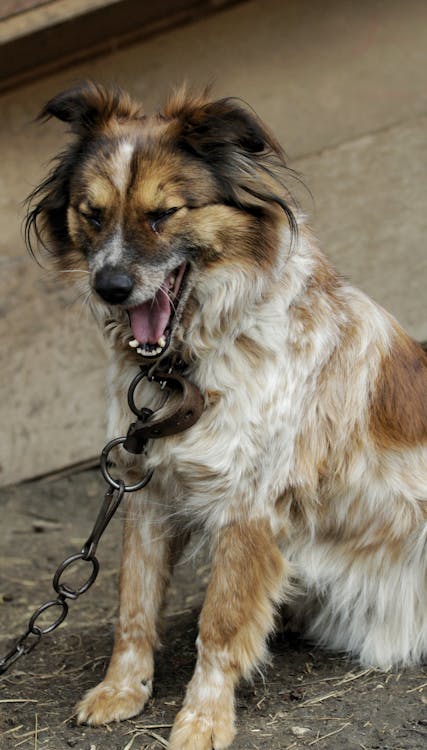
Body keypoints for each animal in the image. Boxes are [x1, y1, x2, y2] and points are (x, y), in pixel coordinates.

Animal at [25, 82, 426, 750]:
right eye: (93, 213)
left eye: (163, 214)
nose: (110, 287)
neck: (190, 364)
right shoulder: (147, 490)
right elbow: (134, 605)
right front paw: (122, 691)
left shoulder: (249, 506)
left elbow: (219, 624)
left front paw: (202, 719)